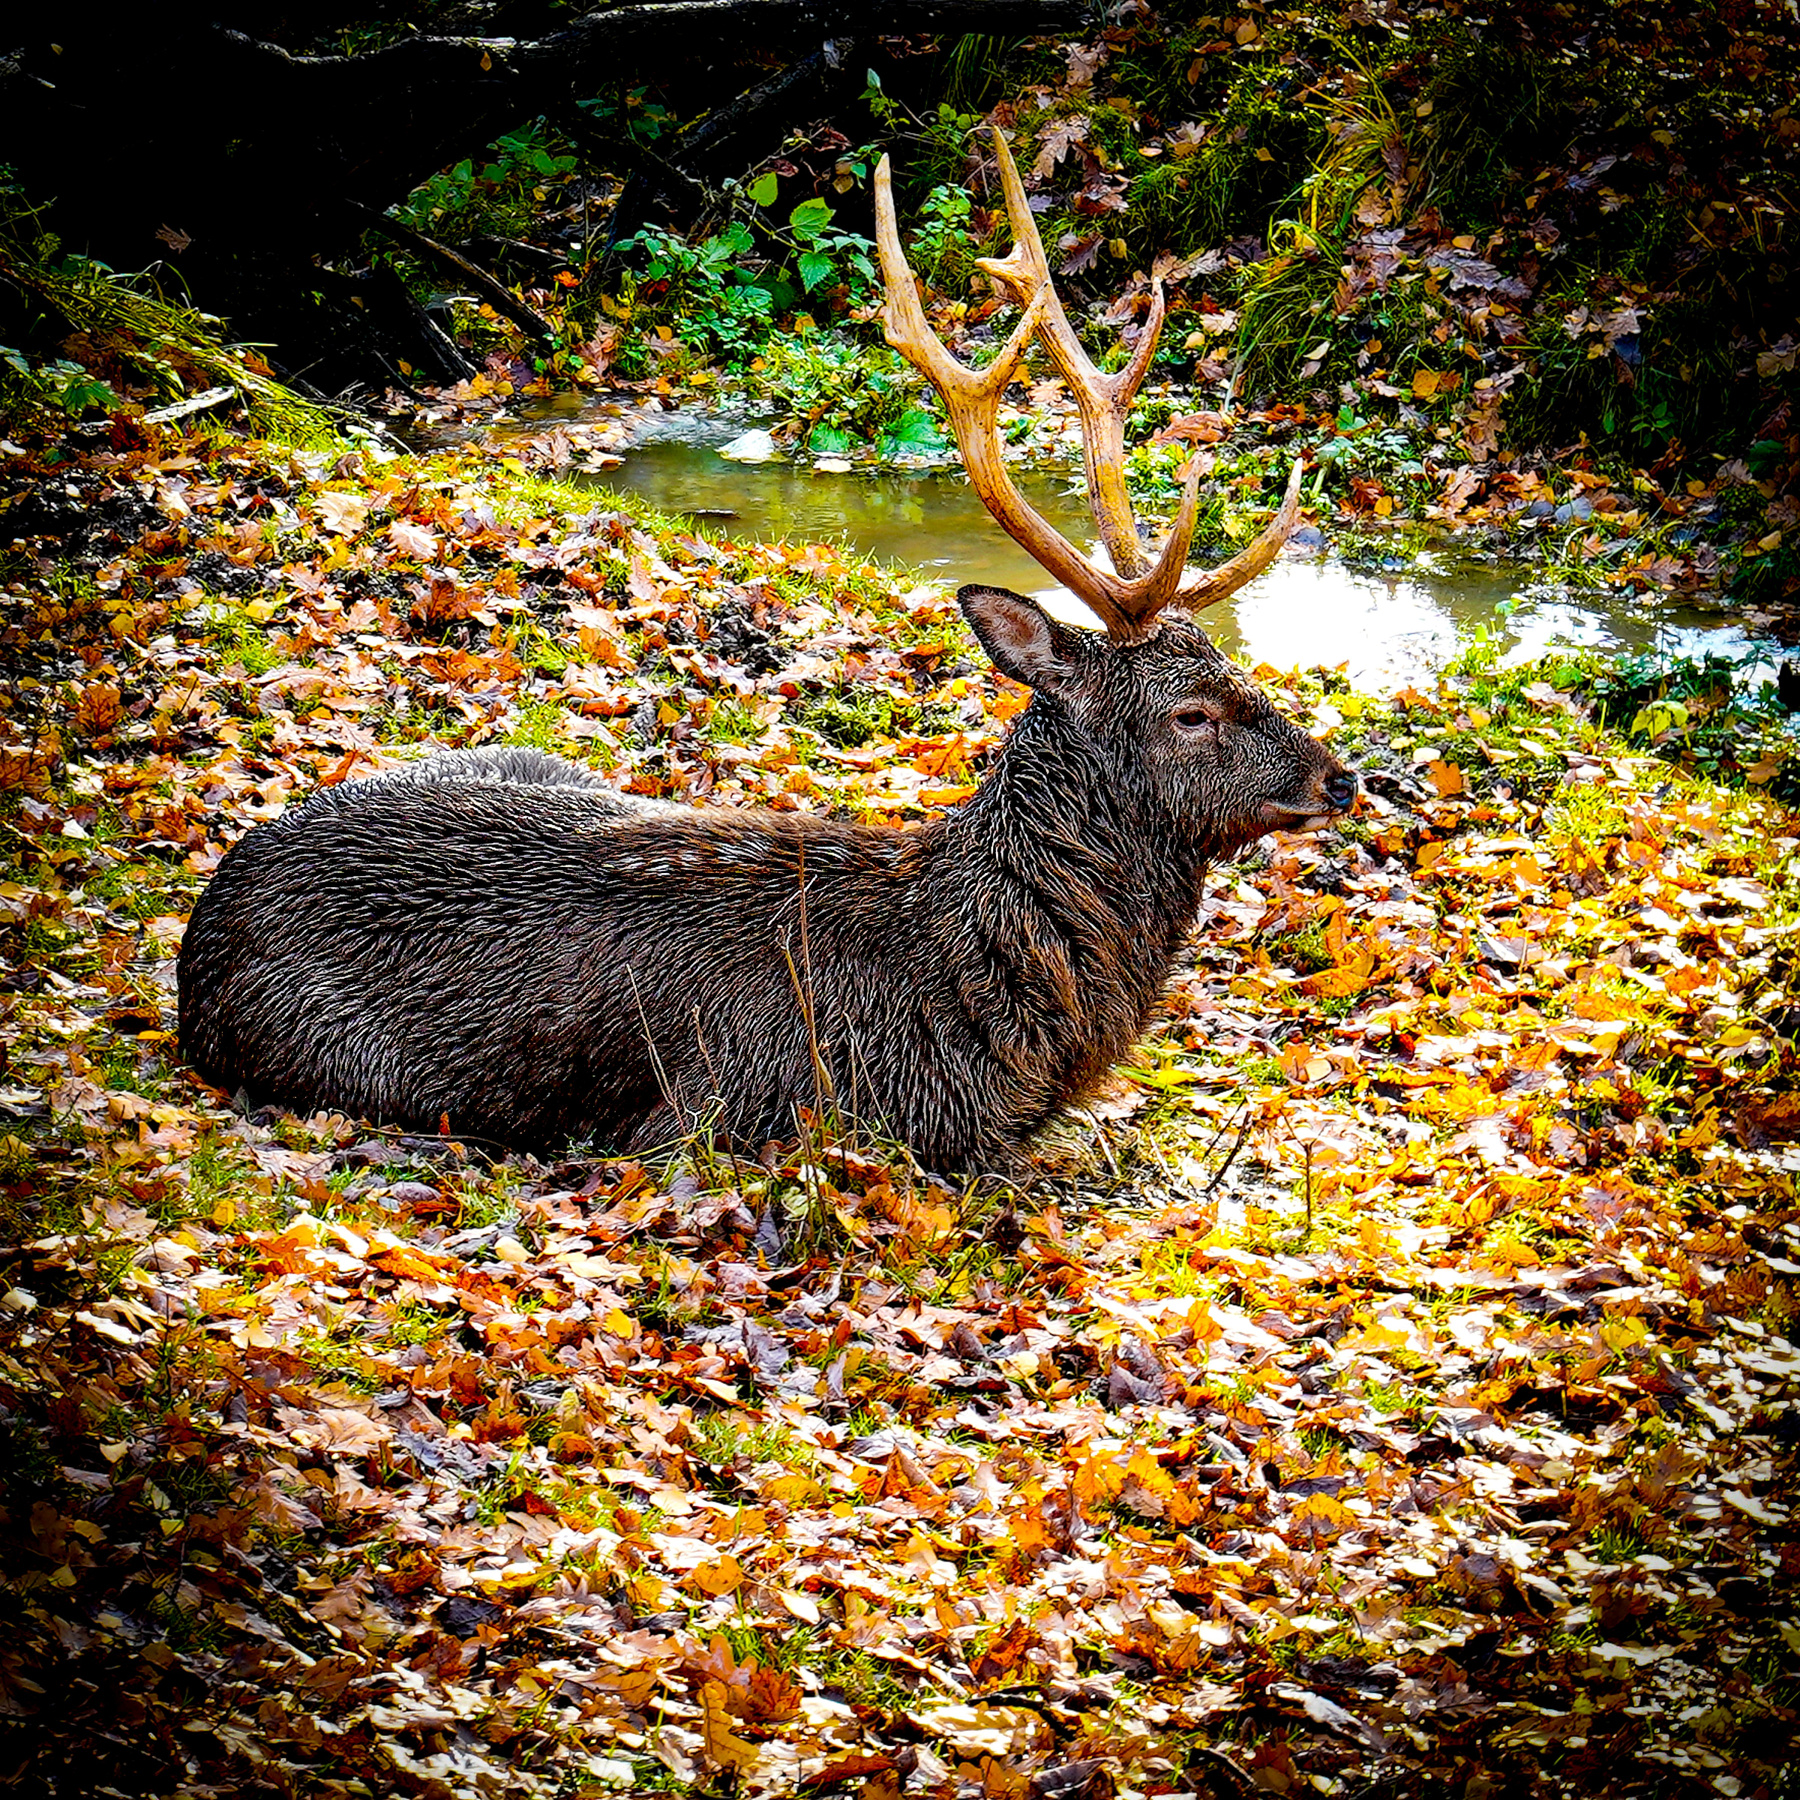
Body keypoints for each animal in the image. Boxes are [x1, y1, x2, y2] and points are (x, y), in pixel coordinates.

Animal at [177, 129, 1355, 1168]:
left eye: (1237, 674)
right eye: (1191, 712)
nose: (1340, 778)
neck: (970, 995)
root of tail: (197, 943)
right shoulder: (729, 1110)